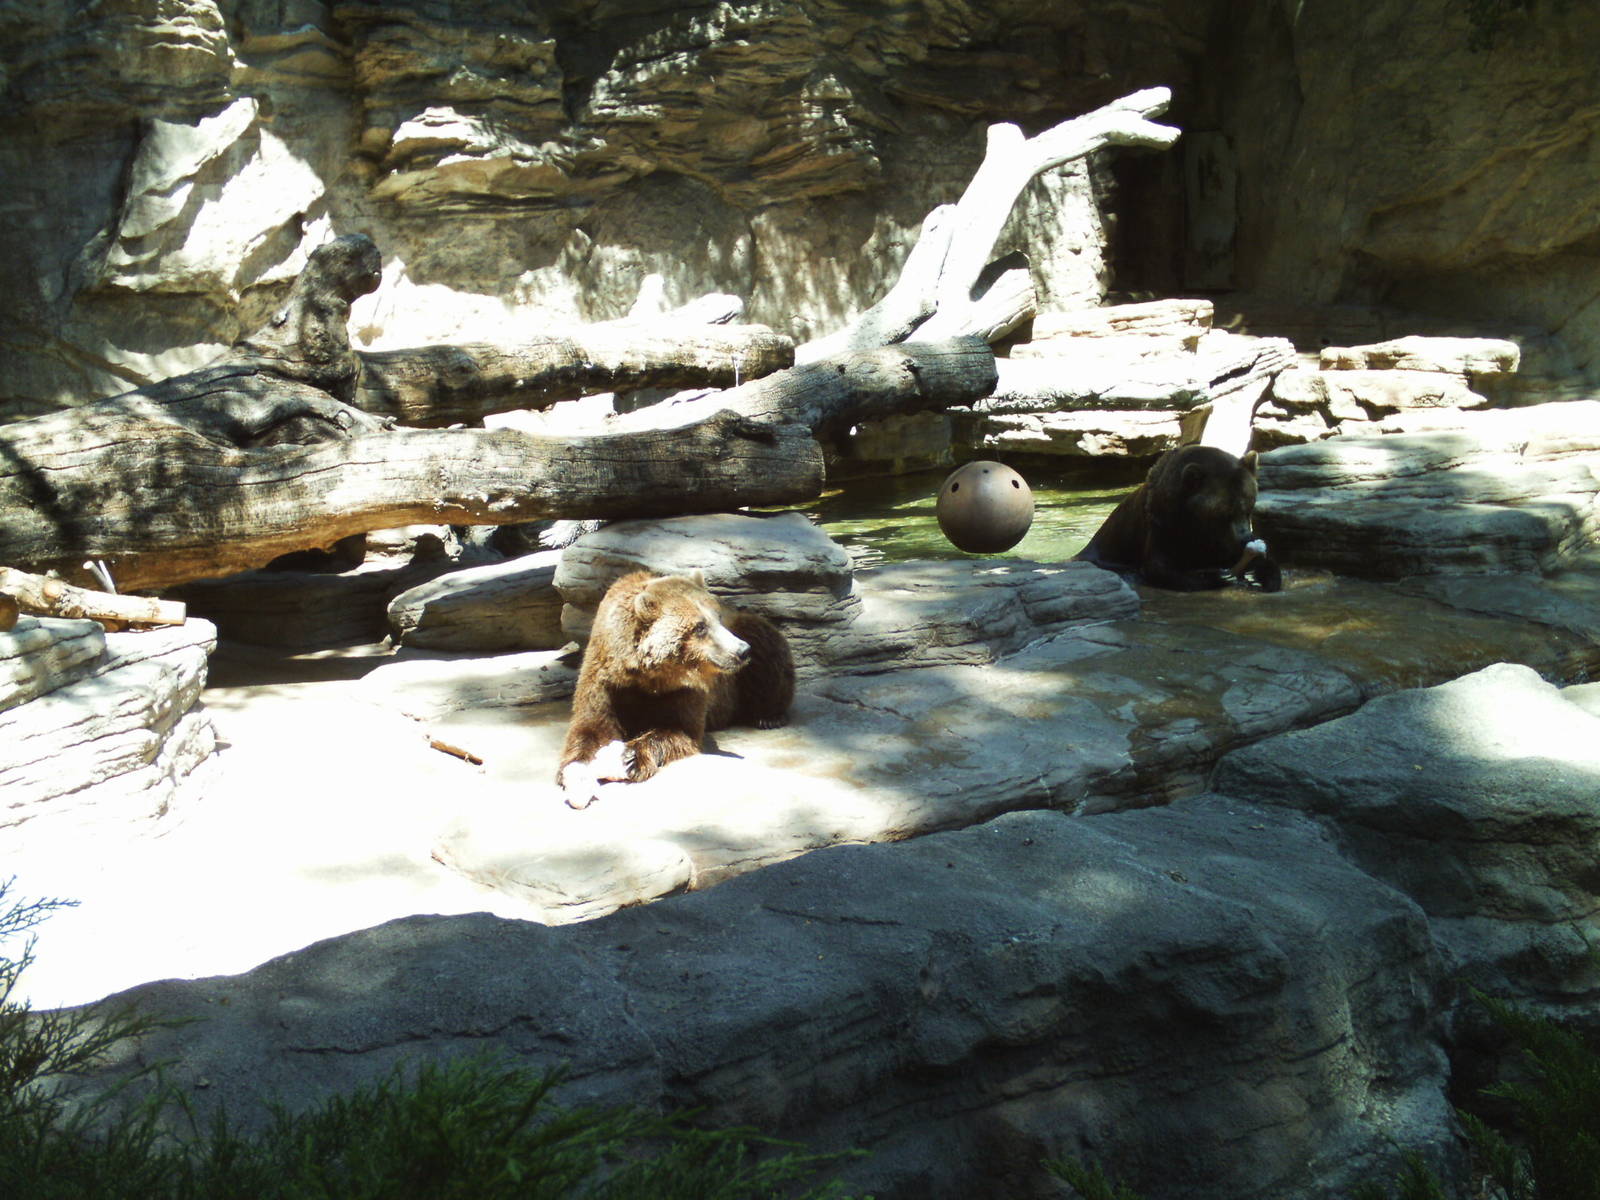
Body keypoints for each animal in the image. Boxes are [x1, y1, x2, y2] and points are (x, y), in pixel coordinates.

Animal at [556, 569, 795, 809]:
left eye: (717, 618)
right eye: (700, 626)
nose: (741, 650)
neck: (647, 676)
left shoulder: (683, 689)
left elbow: (679, 728)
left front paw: (629, 758)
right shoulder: (606, 680)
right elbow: (592, 725)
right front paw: (574, 772)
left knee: (766, 648)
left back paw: (769, 717)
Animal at [1075, 444, 1282, 592]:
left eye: (1248, 508)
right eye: (1224, 514)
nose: (1244, 538)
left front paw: (1264, 576)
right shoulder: (1162, 526)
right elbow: (1161, 568)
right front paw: (1218, 577)